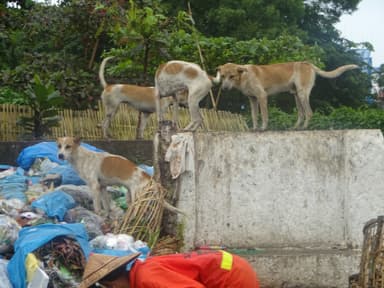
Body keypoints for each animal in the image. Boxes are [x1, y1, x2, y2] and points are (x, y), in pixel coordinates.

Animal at [214, 62, 358, 131]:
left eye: (232, 76)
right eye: (223, 76)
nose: (224, 88)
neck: (244, 76)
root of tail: (308, 63)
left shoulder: (262, 96)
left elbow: (264, 116)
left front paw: (263, 128)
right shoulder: (253, 100)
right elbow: (254, 116)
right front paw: (254, 129)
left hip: (302, 93)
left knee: (309, 112)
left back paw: (304, 128)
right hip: (296, 96)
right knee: (301, 114)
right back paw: (296, 128)